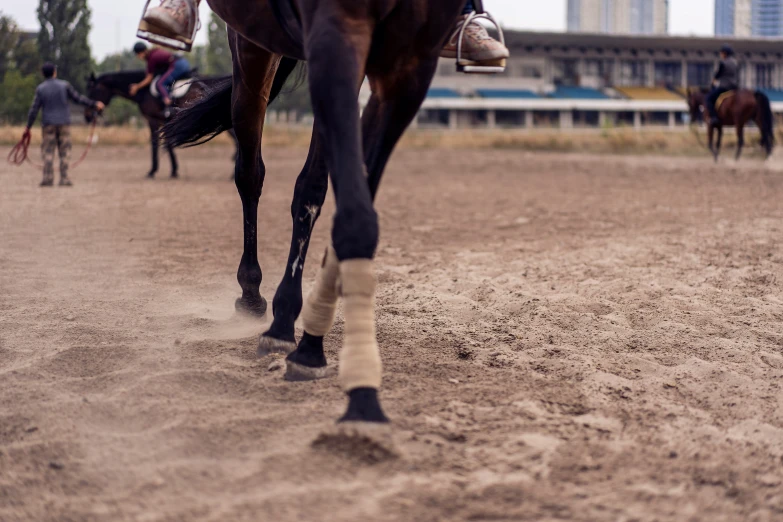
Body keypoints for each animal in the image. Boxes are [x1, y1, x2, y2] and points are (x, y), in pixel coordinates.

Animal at [85, 70, 239, 178]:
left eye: (93, 91)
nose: (87, 116)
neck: (144, 91)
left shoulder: (152, 120)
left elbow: (155, 143)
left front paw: (152, 171)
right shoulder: (165, 121)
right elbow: (168, 144)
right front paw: (174, 171)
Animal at [164, 0, 472, 432]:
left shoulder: (409, 64)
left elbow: (339, 196)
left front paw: (312, 339)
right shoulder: (334, 38)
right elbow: (343, 209)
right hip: (251, 48)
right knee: (249, 173)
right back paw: (251, 291)